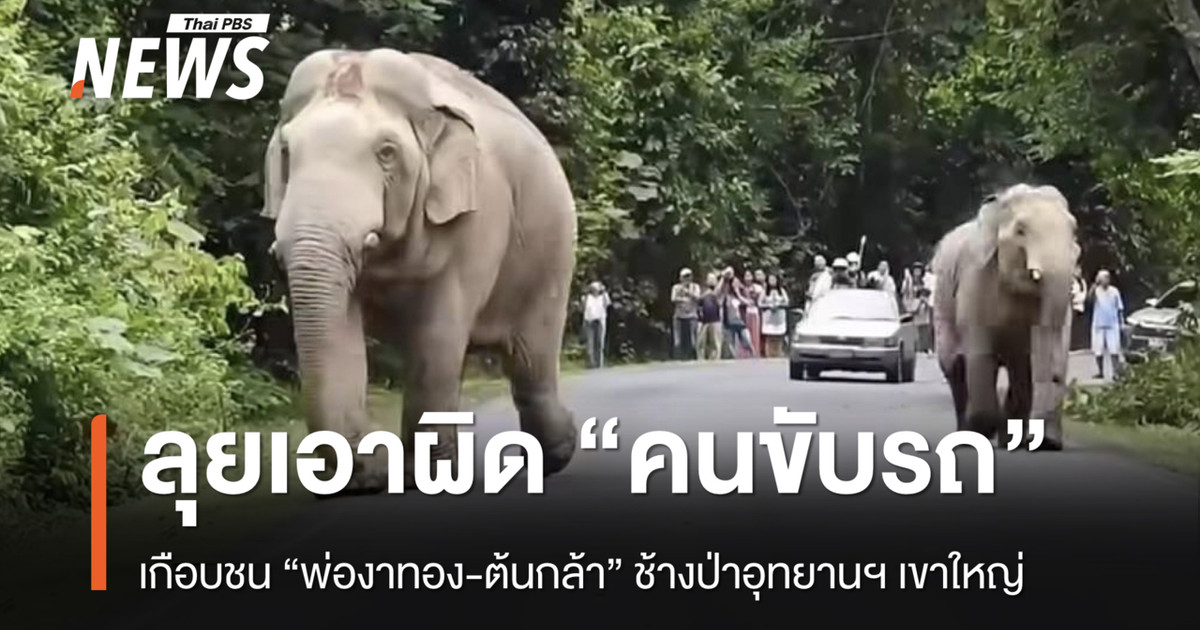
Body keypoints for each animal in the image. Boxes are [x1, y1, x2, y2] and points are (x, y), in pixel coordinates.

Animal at [261, 49, 579, 492]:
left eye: (386, 153)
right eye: (287, 151)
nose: (373, 454)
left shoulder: (478, 217)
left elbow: (437, 337)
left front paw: (424, 478)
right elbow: (343, 330)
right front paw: (365, 479)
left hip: (553, 248)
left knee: (531, 357)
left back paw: (555, 455)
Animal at [930, 184, 1080, 451]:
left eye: (1074, 232)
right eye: (1021, 231)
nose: (1048, 443)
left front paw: (1046, 443)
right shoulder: (975, 277)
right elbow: (979, 351)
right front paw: (981, 430)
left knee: (1020, 369)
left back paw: (1010, 440)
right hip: (942, 303)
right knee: (955, 366)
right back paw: (968, 434)